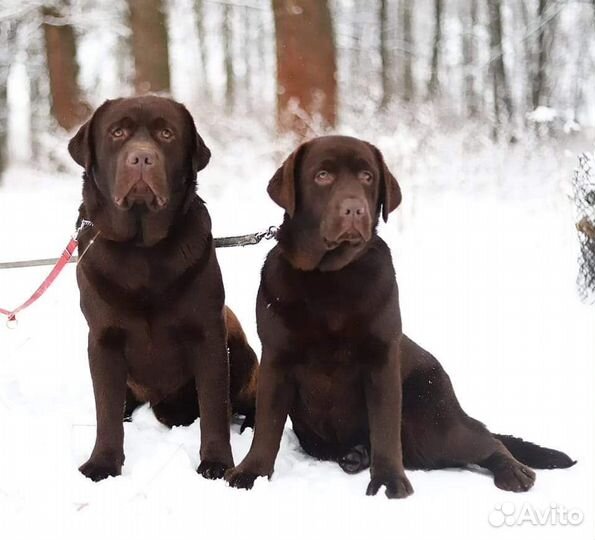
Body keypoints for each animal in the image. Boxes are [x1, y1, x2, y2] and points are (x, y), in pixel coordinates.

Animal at [68, 96, 258, 480]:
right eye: (118, 132)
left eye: (166, 134)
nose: (142, 158)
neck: (142, 250)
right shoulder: (103, 338)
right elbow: (105, 410)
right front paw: (102, 463)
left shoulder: (208, 333)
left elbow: (214, 406)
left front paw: (216, 462)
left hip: (241, 350)